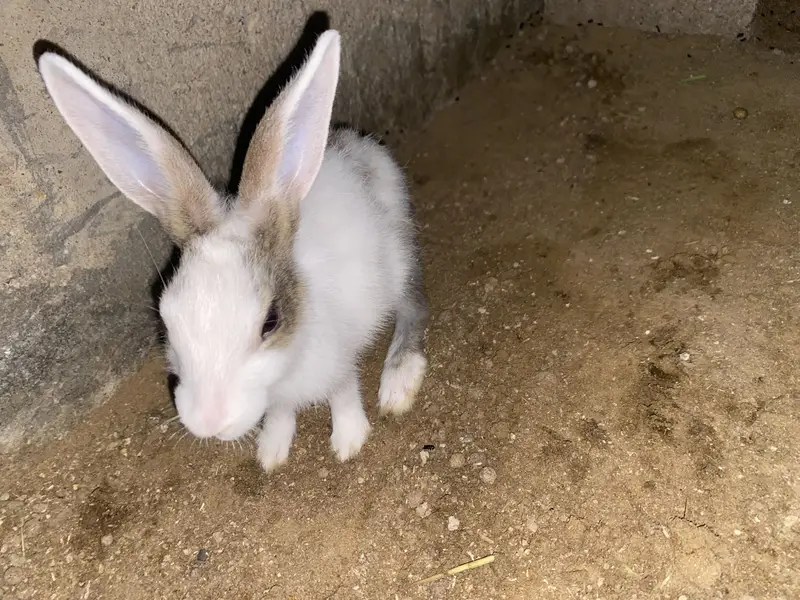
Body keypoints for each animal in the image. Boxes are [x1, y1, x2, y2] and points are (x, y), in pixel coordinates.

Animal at [36, 29, 429, 472]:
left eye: (270, 322)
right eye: (167, 320)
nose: (209, 423)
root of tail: (361, 144)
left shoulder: (339, 356)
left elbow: (343, 393)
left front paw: (349, 442)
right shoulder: (276, 397)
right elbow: (279, 414)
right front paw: (271, 453)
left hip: (399, 261)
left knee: (414, 307)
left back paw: (399, 381)